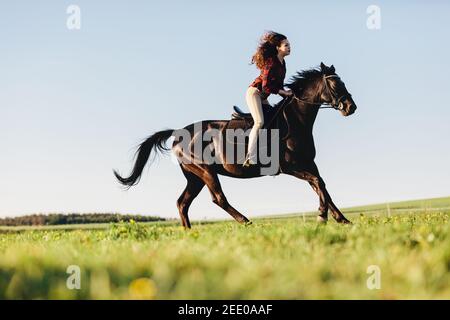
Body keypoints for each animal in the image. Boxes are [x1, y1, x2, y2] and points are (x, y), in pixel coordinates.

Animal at [113, 62, 358, 228]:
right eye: (334, 83)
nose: (351, 107)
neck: (295, 120)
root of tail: (177, 133)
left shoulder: (308, 163)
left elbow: (322, 186)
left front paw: (341, 219)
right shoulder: (289, 167)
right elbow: (318, 183)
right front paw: (322, 216)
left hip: (194, 177)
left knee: (182, 203)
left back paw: (189, 233)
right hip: (206, 171)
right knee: (218, 198)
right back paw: (246, 221)